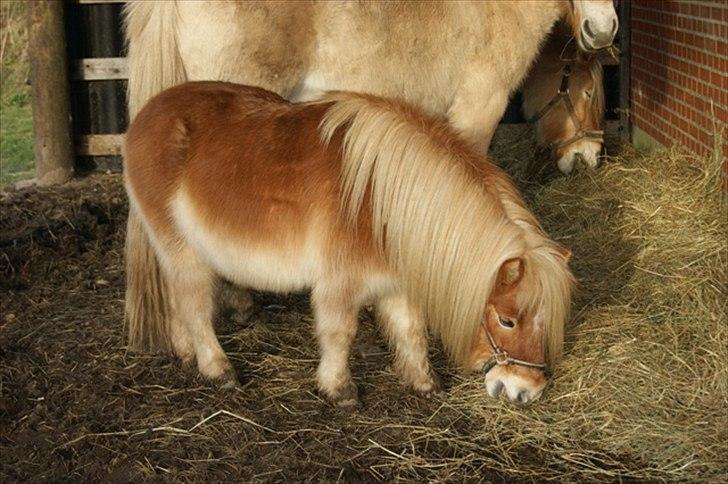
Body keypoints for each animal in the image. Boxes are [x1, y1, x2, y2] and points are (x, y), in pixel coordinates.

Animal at [122, 82, 572, 404]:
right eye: (507, 320)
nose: (526, 391)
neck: (381, 201)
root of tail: (146, 115)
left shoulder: (397, 283)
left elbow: (411, 331)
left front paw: (424, 384)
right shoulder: (340, 284)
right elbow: (341, 333)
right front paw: (339, 390)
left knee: (176, 300)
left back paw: (185, 354)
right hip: (183, 252)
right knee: (194, 306)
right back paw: (218, 370)